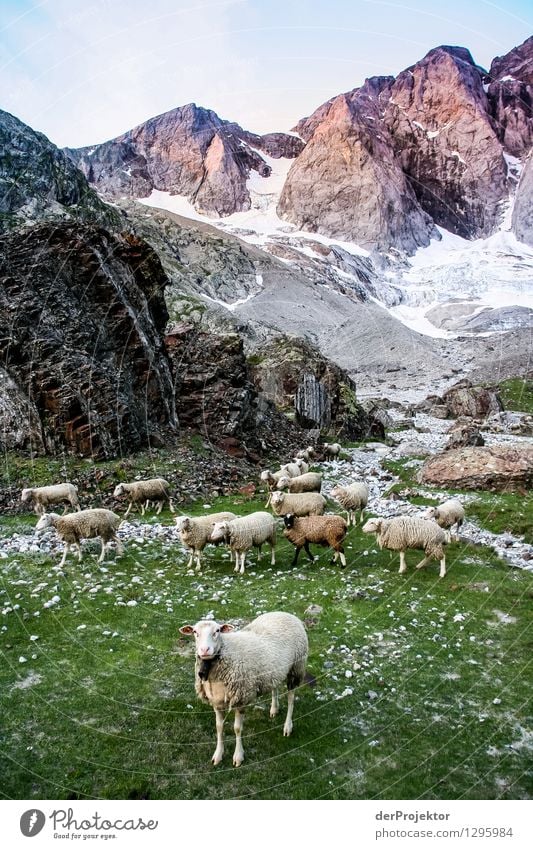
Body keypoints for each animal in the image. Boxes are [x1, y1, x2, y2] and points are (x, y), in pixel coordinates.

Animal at [178, 608, 308, 768]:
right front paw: (218, 755)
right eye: (195, 632)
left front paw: (238, 756)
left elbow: (237, 729)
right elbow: (219, 727)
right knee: (275, 687)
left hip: (296, 668)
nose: (204, 650)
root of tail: (285, 613)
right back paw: (274, 709)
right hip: (274, 671)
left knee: (290, 699)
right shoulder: (216, 701)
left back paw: (287, 726)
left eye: (217, 631)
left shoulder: (241, 697)